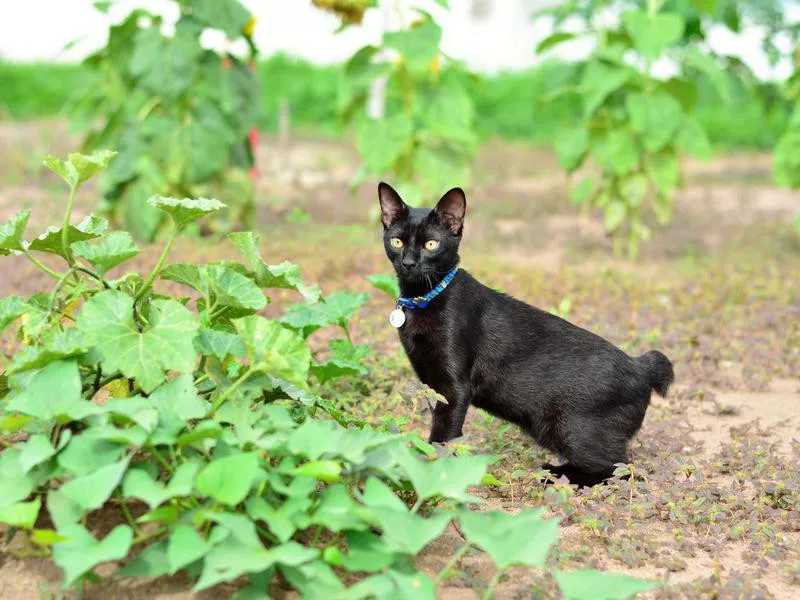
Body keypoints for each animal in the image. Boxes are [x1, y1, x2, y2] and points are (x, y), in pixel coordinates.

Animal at [378, 183, 672, 488]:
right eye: (397, 242)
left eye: (431, 245)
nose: (409, 263)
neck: (423, 299)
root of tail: (641, 367)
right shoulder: (430, 382)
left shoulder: (454, 388)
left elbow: (443, 437)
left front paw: (433, 473)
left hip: (569, 427)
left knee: (620, 469)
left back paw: (553, 473)